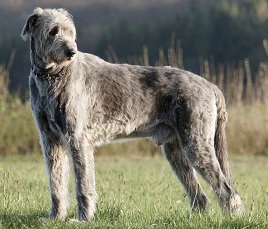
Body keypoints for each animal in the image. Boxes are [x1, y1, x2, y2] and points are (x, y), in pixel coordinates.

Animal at [20, 7, 243, 222]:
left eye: (70, 31)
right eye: (52, 31)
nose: (71, 51)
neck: (54, 75)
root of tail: (211, 87)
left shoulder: (77, 139)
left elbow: (83, 185)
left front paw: (83, 219)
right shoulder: (50, 140)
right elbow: (55, 183)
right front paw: (55, 217)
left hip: (197, 143)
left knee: (227, 191)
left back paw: (233, 218)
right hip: (176, 150)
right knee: (201, 197)